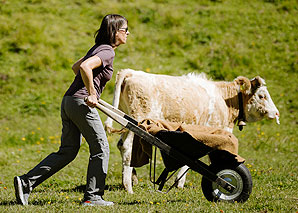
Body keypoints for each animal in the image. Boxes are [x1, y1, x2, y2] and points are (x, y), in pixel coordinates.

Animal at [103, 68, 280, 193]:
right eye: (262, 96)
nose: (277, 113)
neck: (225, 101)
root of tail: (131, 72)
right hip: (136, 122)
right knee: (127, 148)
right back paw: (128, 187)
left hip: (128, 120)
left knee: (121, 145)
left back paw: (131, 180)